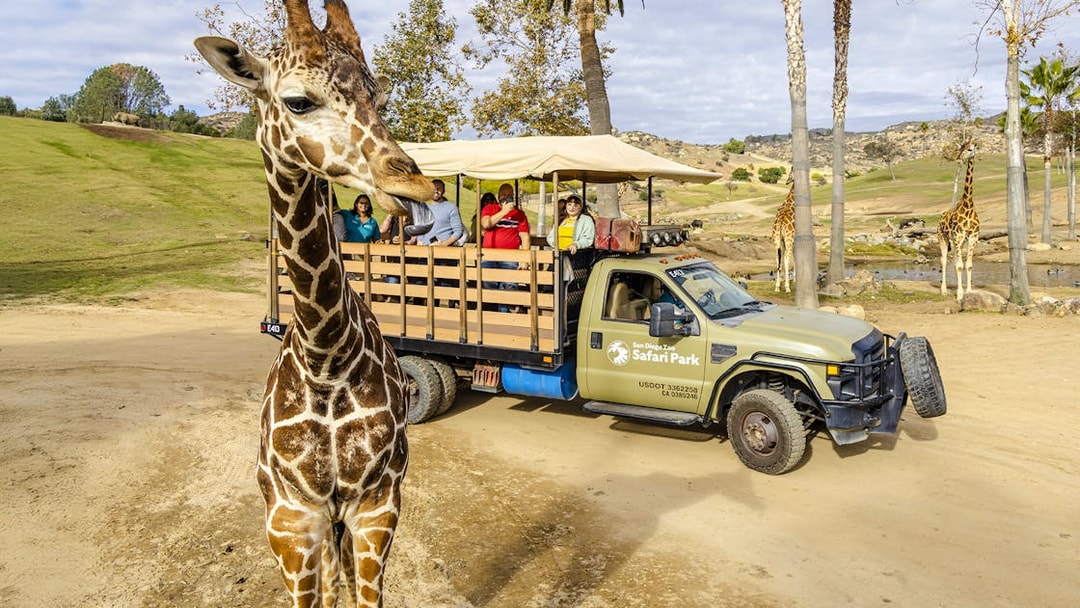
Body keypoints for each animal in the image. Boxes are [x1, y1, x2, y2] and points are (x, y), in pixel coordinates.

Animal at [195, 2, 434, 606]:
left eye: (380, 98)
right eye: (298, 101)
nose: (417, 185)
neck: (325, 354)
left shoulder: (377, 506)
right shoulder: (290, 519)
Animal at [938, 140, 980, 302]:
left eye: (970, 149)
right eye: (961, 147)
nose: (958, 158)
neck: (968, 206)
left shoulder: (973, 236)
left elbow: (968, 265)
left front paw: (968, 291)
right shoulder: (958, 236)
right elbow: (959, 265)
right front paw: (960, 295)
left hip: (958, 242)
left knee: (956, 260)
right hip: (943, 238)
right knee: (944, 260)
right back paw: (943, 290)